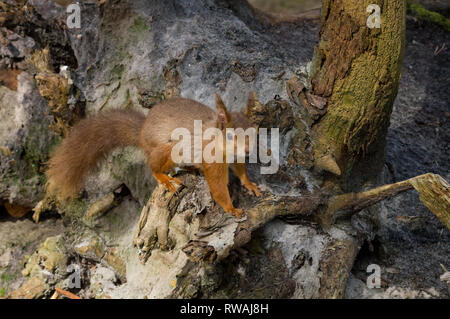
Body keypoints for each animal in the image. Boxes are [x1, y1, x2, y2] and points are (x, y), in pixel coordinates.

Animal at [45, 92, 260, 218]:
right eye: (230, 135)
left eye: (254, 130)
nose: (248, 150)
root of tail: (141, 133)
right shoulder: (213, 160)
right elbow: (218, 188)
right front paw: (231, 208)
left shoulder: (236, 159)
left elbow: (241, 171)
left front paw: (250, 184)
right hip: (166, 148)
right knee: (152, 165)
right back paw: (165, 178)